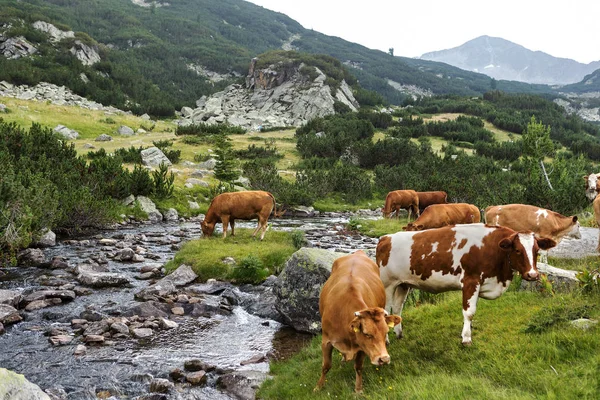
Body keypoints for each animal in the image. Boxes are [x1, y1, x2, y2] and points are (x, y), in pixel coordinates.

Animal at [314, 250, 404, 394]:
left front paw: (358, 389)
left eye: (386, 332)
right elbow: (326, 365)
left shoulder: (362, 346)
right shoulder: (326, 341)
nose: (384, 359)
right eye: (367, 334)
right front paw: (318, 387)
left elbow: (358, 367)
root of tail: (358, 253)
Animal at [378, 223, 556, 346]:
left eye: (537, 251)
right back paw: (386, 340)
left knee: (398, 308)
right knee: (385, 311)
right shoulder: (471, 281)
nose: (532, 274)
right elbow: (469, 312)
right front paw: (466, 338)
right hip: (387, 284)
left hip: (403, 284)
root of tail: (386, 238)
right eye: (518, 250)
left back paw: (399, 334)